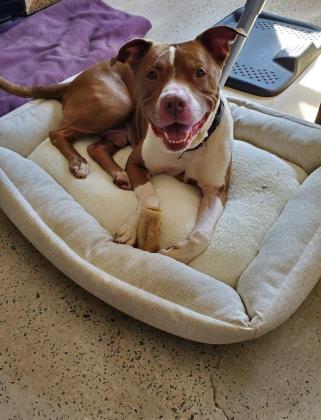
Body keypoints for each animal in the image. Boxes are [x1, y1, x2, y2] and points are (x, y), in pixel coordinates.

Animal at [0, 25, 242, 262]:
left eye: (199, 72)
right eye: (151, 75)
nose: (173, 101)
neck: (187, 150)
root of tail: (71, 81)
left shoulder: (216, 191)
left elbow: (201, 236)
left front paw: (177, 253)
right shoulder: (136, 163)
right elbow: (149, 198)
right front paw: (132, 227)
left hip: (121, 130)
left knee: (95, 147)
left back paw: (118, 174)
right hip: (116, 105)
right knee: (58, 133)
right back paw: (79, 163)